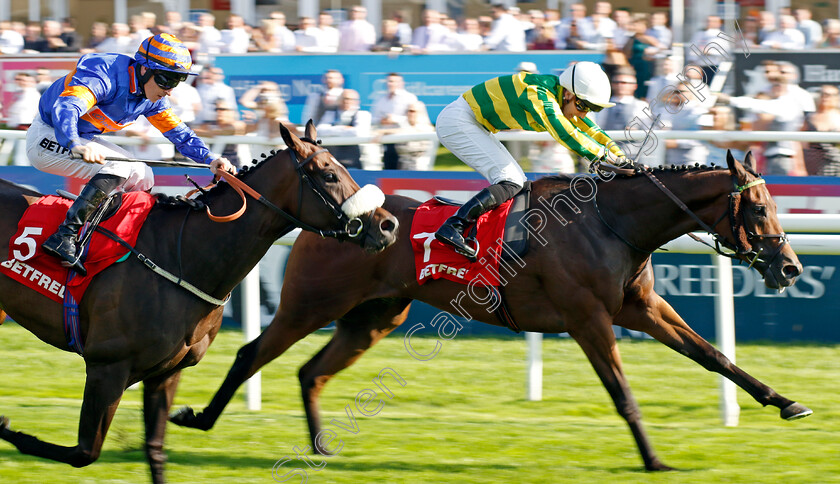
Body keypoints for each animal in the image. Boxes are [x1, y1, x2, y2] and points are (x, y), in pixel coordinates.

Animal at [0, 123, 398, 482]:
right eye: (329, 174)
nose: (389, 225)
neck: (181, 255)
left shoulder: (166, 373)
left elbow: (154, 450)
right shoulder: (107, 367)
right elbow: (84, 452)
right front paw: (9, 429)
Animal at [174, 150, 812, 468]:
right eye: (758, 208)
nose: (790, 268)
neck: (612, 222)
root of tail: (336, 220)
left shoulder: (642, 308)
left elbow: (715, 357)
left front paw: (787, 402)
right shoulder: (588, 318)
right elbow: (623, 393)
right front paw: (654, 459)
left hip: (376, 316)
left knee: (311, 371)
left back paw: (320, 445)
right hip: (311, 304)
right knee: (253, 354)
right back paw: (199, 418)